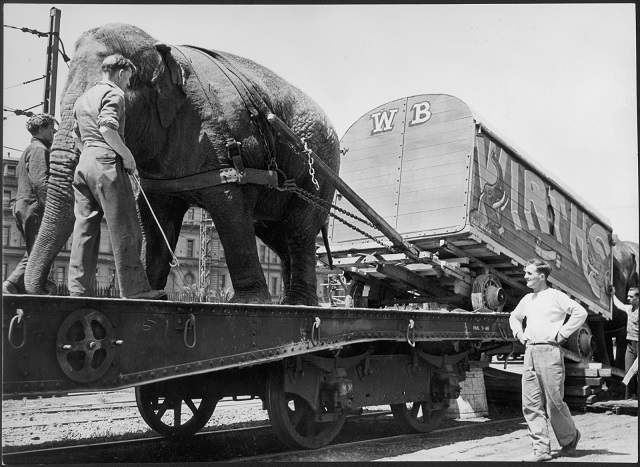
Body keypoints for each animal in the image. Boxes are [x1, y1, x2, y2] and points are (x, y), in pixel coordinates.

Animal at [24, 23, 340, 306]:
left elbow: (230, 208)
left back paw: (299, 304)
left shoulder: (227, 150)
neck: (163, 49)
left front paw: (250, 302)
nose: (48, 288)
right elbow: (155, 217)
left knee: (299, 231)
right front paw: (154, 294)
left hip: (320, 172)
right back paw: (293, 302)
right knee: (279, 237)